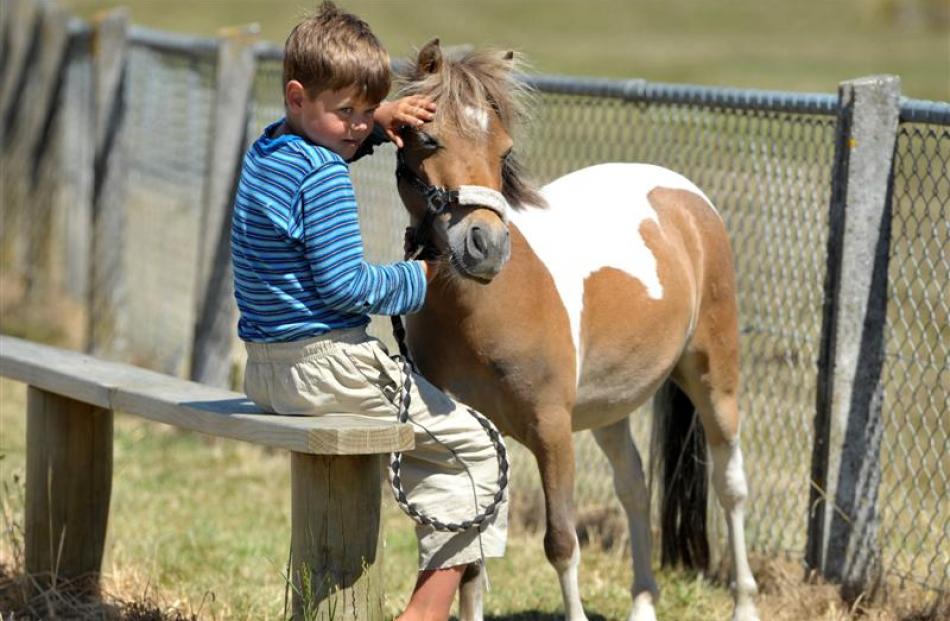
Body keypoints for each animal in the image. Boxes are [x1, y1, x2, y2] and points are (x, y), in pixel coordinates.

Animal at [398, 40, 764, 620]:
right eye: (428, 138)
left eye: (503, 151)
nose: (485, 246)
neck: (484, 307)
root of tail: (685, 196)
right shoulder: (478, 440)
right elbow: (471, 560)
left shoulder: (551, 431)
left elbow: (562, 543)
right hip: (607, 407)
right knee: (634, 487)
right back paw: (643, 603)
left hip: (714, 379)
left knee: (732, 486)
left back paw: (745, 603)